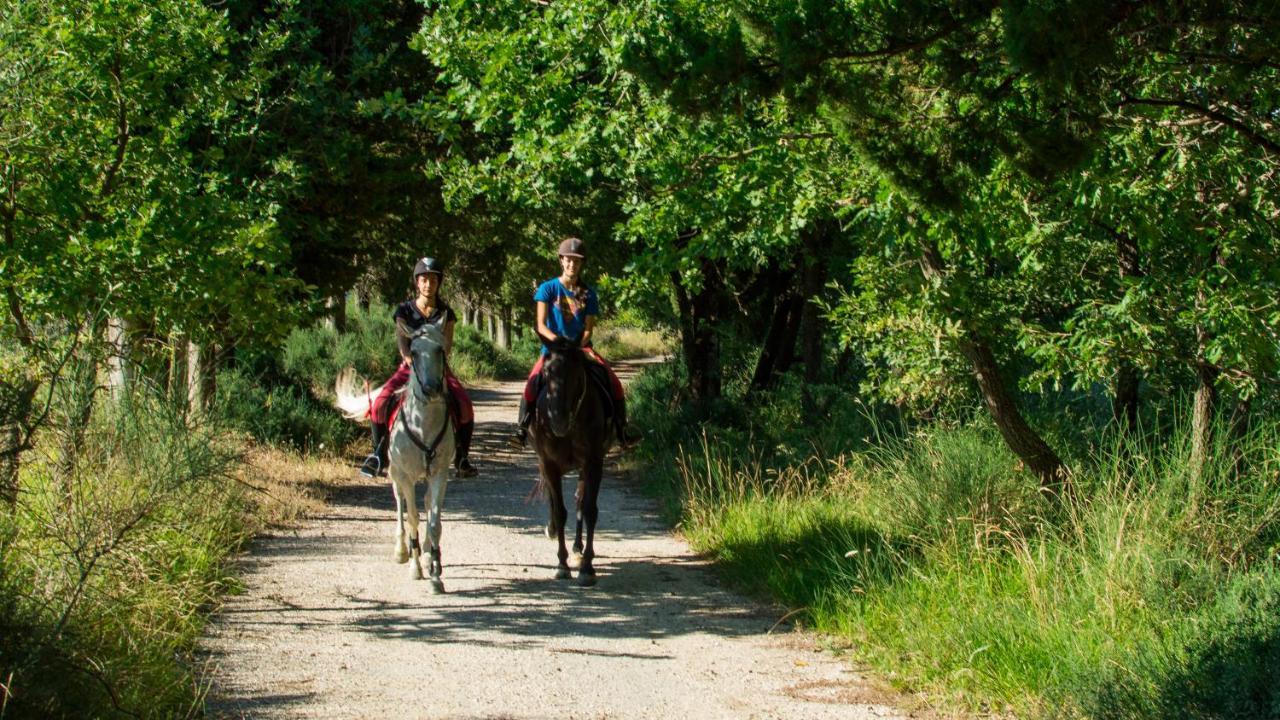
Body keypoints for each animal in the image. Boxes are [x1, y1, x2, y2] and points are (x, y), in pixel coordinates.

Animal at [337, 324, 458, 589]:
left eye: (440, 349)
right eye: (413, 351)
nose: (431, 389)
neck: (423, 424)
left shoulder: (439, 474)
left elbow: (434, 522)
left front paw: (435, 573)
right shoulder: (405, 475)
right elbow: (412, 517)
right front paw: (415, 567)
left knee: (425, 503)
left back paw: (426, 552)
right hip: (395, 473)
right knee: (401, 503)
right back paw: (403, 551)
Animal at [527, 335, 611, 584]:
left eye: (577, 372)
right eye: (547, 371)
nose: (558, 421)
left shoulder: (593, 463)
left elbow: (589, 510)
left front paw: (586, 568)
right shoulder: (550, 465)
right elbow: (559, 511)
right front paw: (562, 565)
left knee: (579, 501)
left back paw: (578, 546)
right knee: (555, 500)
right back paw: (553, 530)